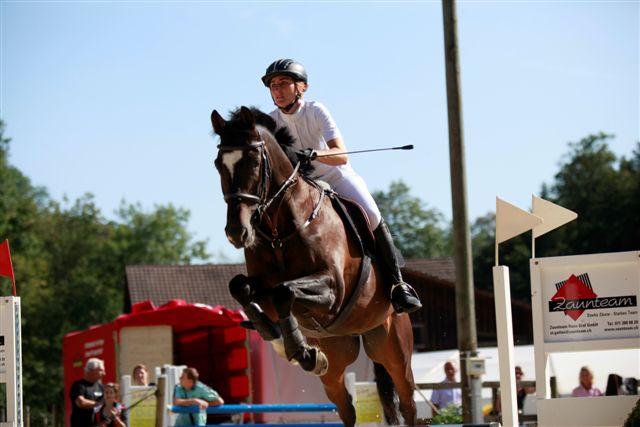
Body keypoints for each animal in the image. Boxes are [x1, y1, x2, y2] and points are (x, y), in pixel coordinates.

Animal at [212, 107, 418, 427]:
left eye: (255, 161)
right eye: (218, 165)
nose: (237, 232)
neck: (280, 230)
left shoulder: (334, 289)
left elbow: (284, 291)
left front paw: (299, 349)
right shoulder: (261, 287)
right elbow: (241, 287)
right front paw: (277, 336)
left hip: (396, 351)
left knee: (408, 404)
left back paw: (403, 295)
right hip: (336, 363)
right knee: (347, 408)